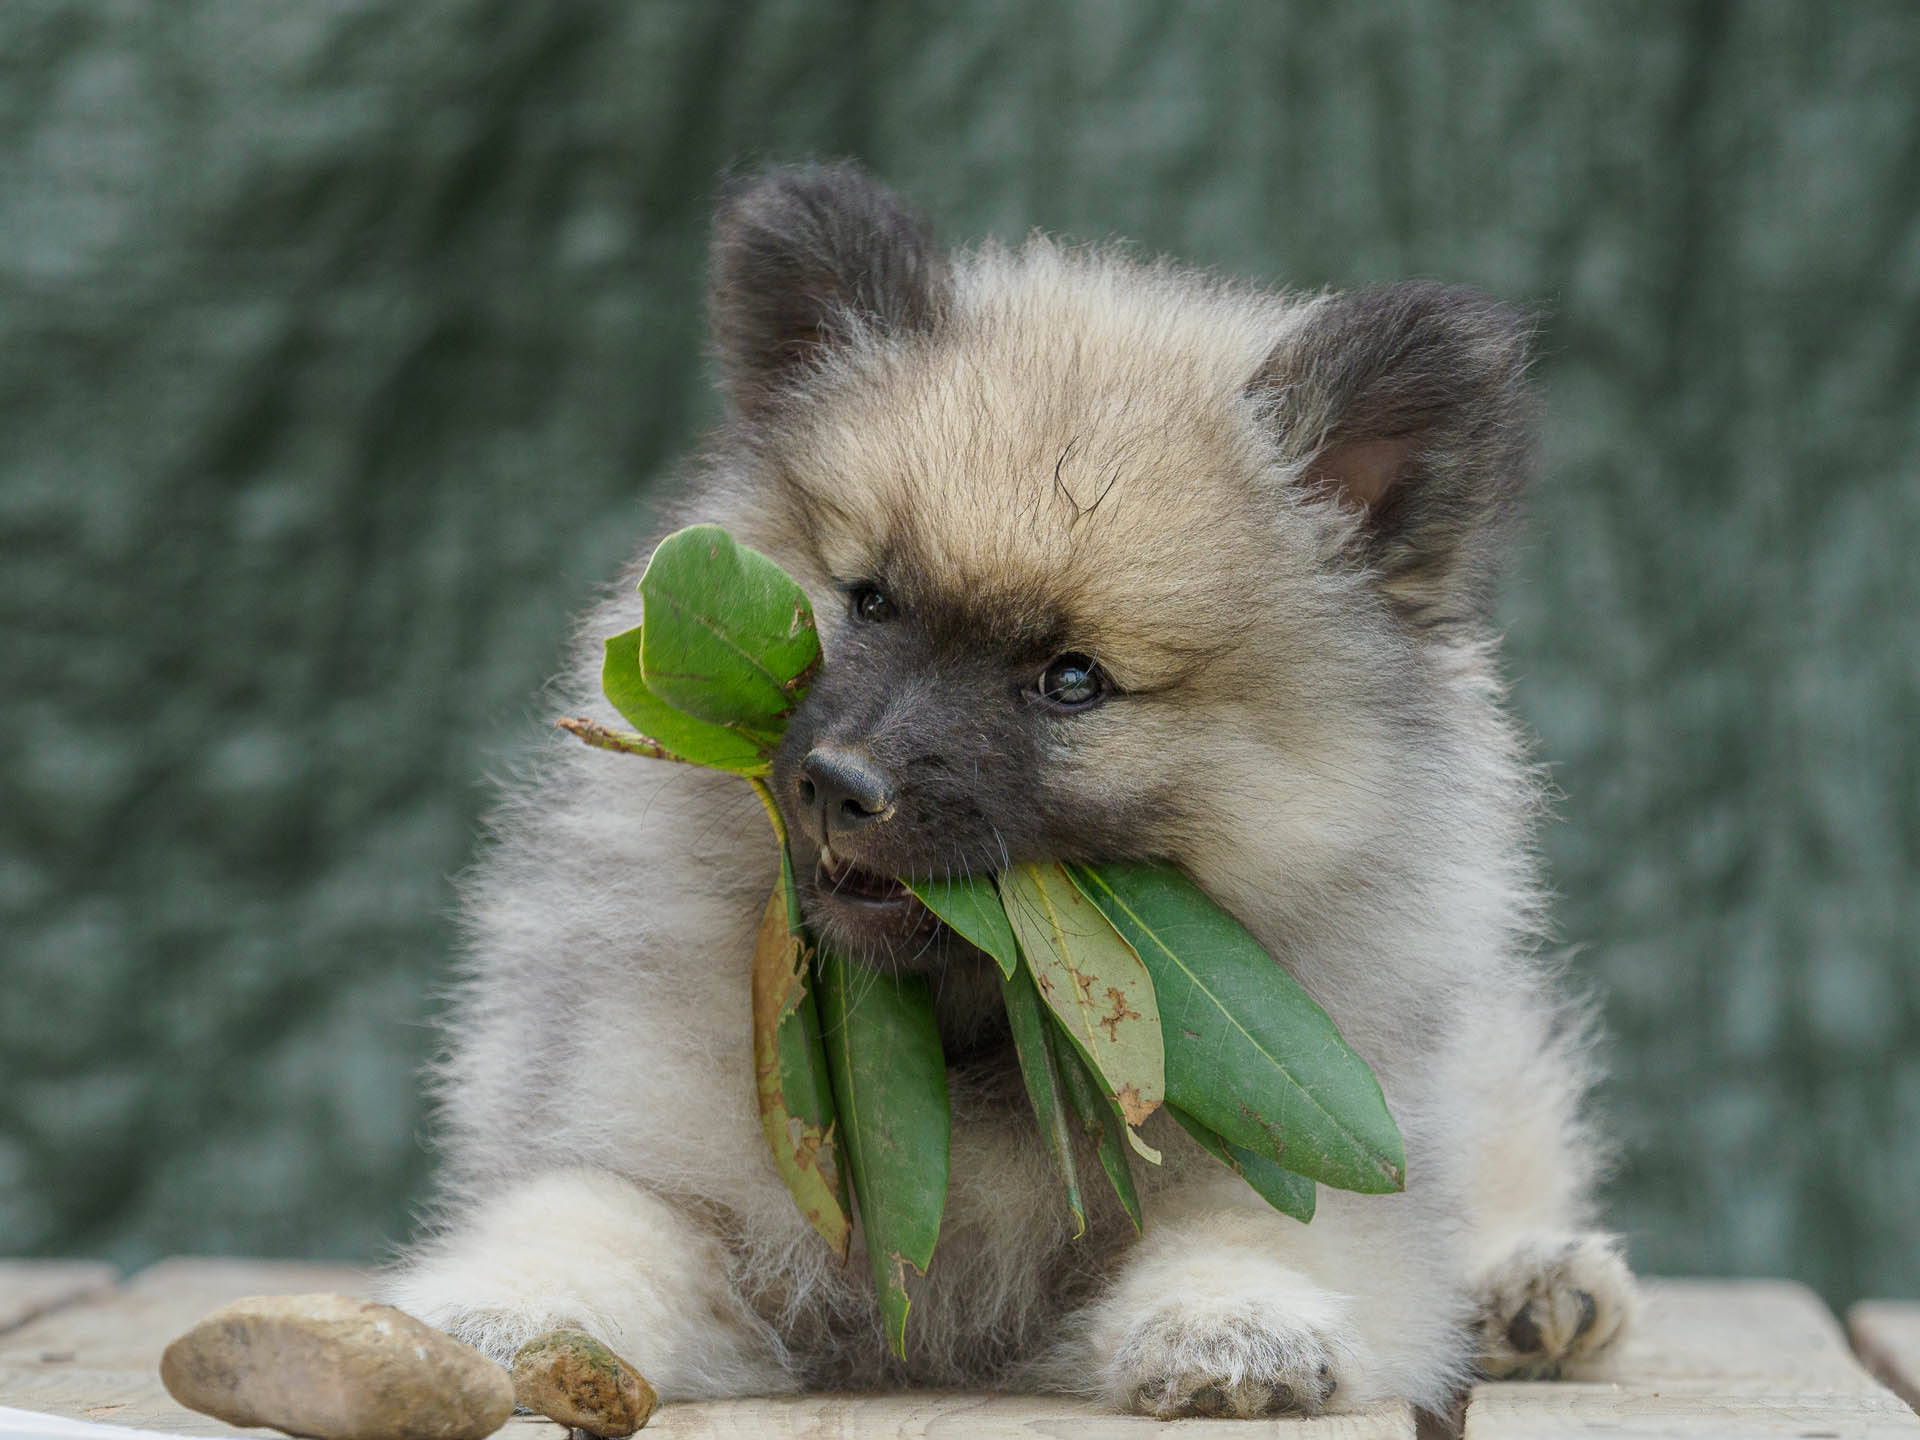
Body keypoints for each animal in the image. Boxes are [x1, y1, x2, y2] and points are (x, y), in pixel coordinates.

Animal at [385, 166, 1635, 1420]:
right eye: (870, 602)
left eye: (1072, 681)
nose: (841, 784)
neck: (965, 1041)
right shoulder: (668, 1160)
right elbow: (591, 1218)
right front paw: (502, 1305)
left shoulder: (1310, 1153)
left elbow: (1261, 1236)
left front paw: (1233, 1325)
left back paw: (1539, 1287)